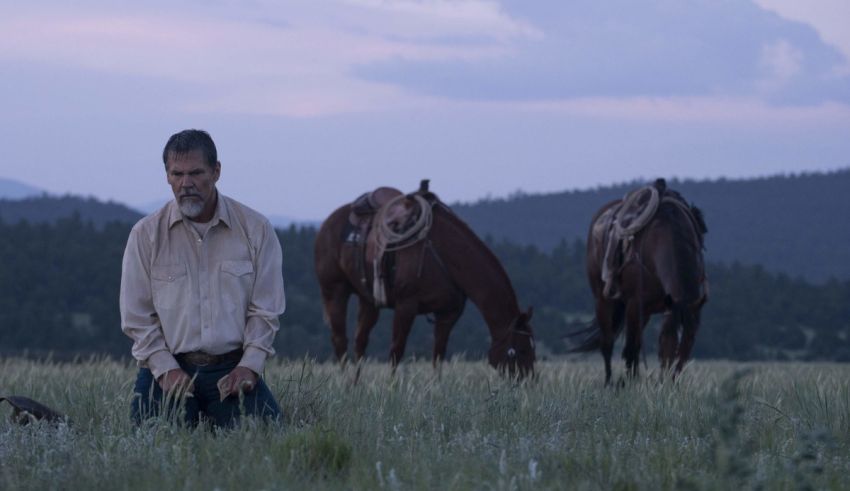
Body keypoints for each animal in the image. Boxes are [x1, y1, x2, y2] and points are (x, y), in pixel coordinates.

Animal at [314, 183, 532, 378]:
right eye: (519, 350)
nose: (528, 381)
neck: (444, 254)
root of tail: (327, 223)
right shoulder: (406, 306)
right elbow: (396, 350)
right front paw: (392, 388)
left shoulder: (448, 313)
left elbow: (438, 355)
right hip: (334, 290)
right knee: (340, 340)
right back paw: (345, 384)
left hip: (367, 299)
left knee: (360, 341)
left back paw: (356, 385)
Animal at [568, 179, 708, 386]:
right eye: (664, 341)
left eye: (689, 342)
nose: (669, 382)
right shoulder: (635, 304)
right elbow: (630, 349)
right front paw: (630, 385)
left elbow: (634, 348)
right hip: (603, 301)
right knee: (608, 343)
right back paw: (609, 382)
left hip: (645, 311)